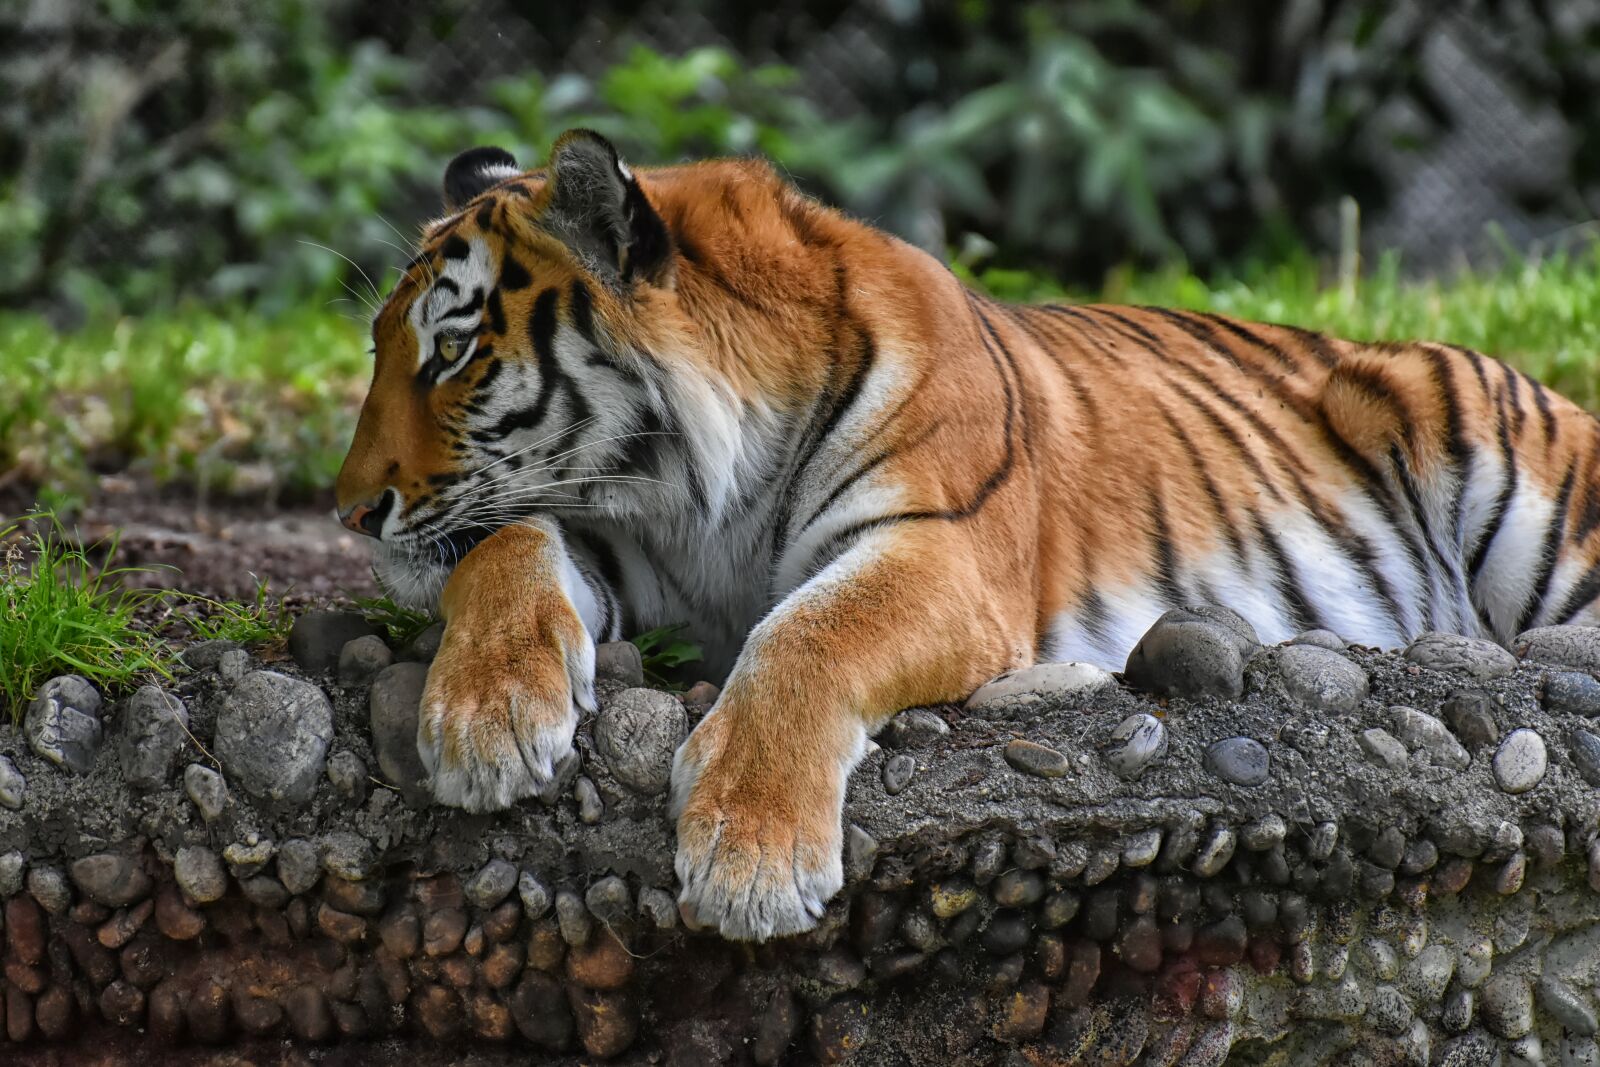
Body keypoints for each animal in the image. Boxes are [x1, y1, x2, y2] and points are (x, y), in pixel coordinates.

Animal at [335, 129, 1600, 941]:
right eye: (379, 345)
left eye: (453, 353)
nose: (349, 511)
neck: (692, 492)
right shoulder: (613, 538)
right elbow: (505, 547)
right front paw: (487, 722)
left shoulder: (939, 550)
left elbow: (806, 637)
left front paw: (750, 859)